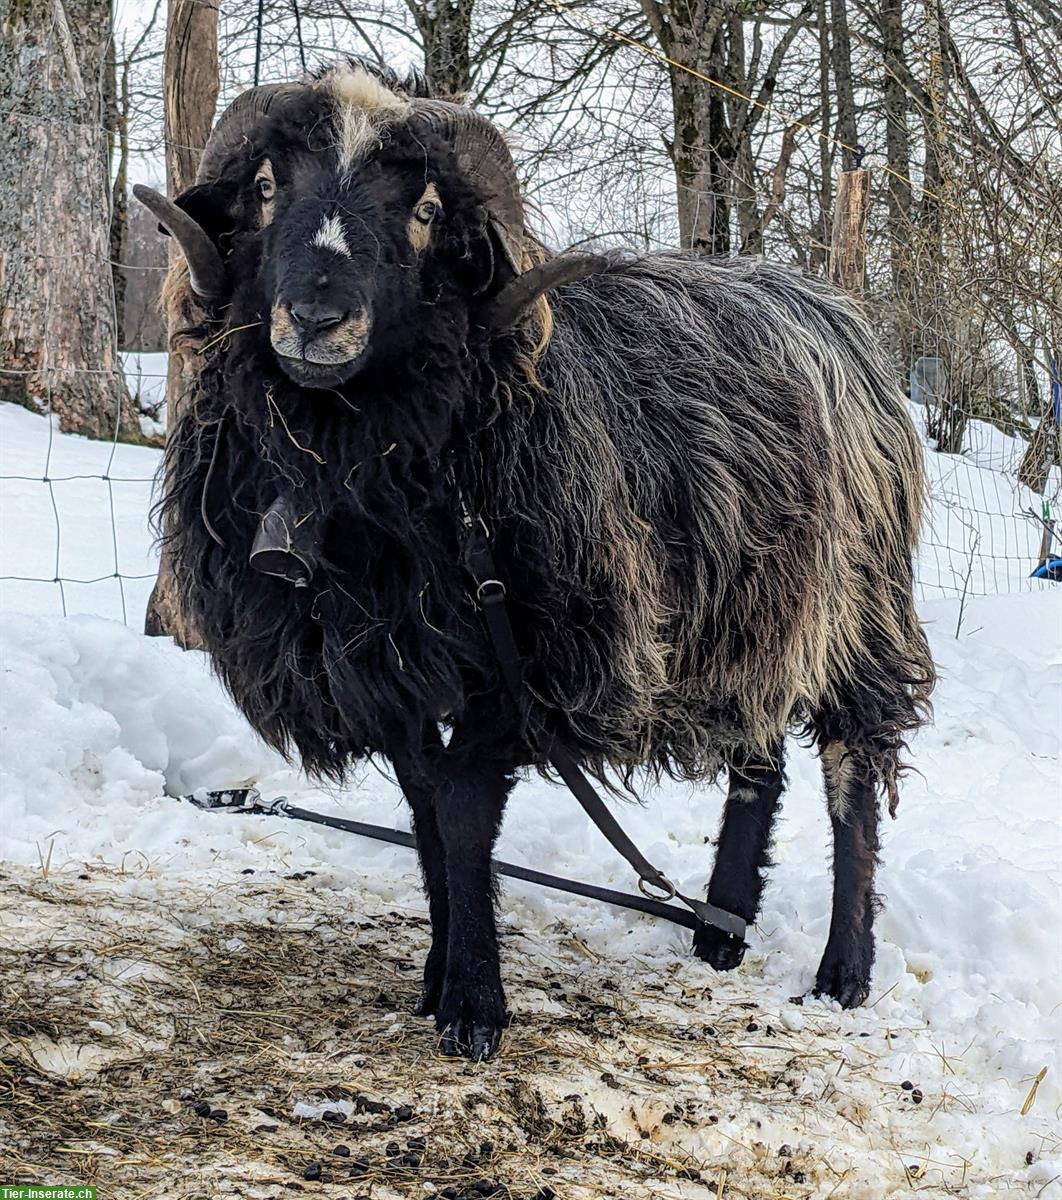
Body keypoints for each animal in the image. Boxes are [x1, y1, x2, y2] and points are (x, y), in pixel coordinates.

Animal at [134, 60, 936, 1065]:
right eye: (269, 187)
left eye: (426, 209)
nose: (317, 318)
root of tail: (838, 314)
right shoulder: (391, 672)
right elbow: (429, 819)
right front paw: (439, 973)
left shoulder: (524, 671)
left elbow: (465, 813)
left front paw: (474, 1003)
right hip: (754, 617)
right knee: (760, 764)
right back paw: (720, 928)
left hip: (854, 609)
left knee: (849, 775)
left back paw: (842, 972)